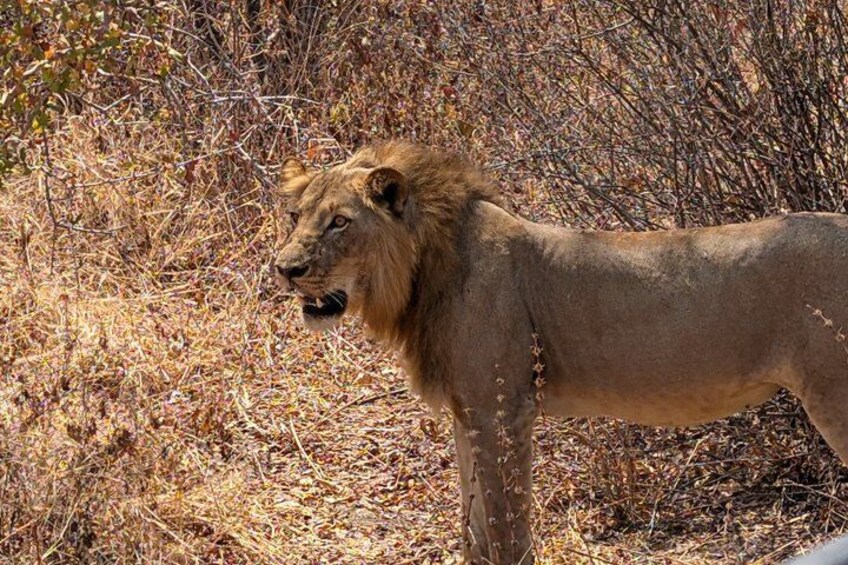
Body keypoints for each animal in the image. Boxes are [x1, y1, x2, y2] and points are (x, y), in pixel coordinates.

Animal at [274, 141, 848, 564]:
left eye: (340, 221)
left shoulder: (502, 411)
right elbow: (474, 528)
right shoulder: (468, 412)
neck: (422, 272)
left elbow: (505, 530)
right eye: (296, 215)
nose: (285, 269)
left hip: (833, 396)